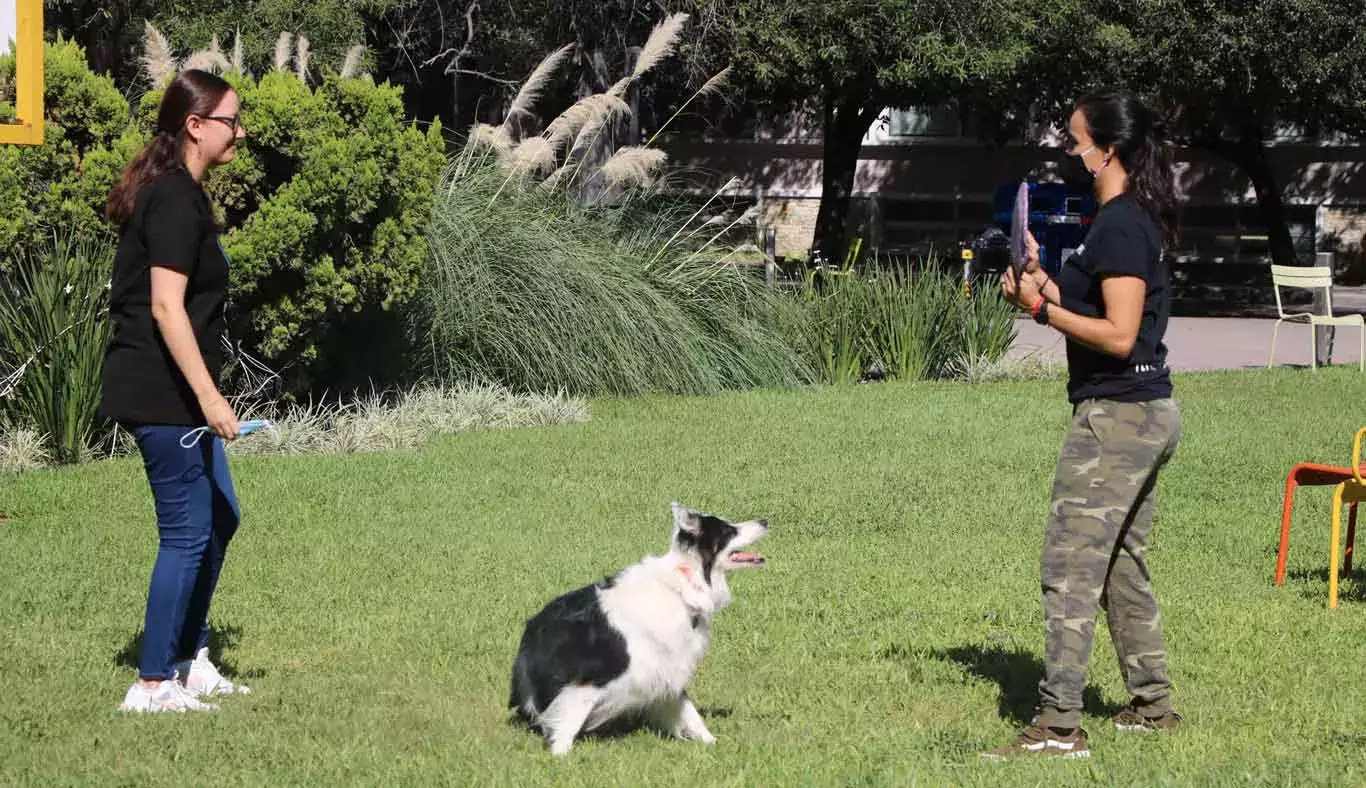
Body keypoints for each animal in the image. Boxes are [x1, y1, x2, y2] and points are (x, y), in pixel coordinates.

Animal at [513, 499, 770, 753]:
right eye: (729, 530)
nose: (765, 521)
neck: (683, 584)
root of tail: (532, 629)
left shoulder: (667, 667)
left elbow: (690, 713)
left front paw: (712, 742)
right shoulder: (590, 678)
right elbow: (568, 721)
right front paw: (560, 757)